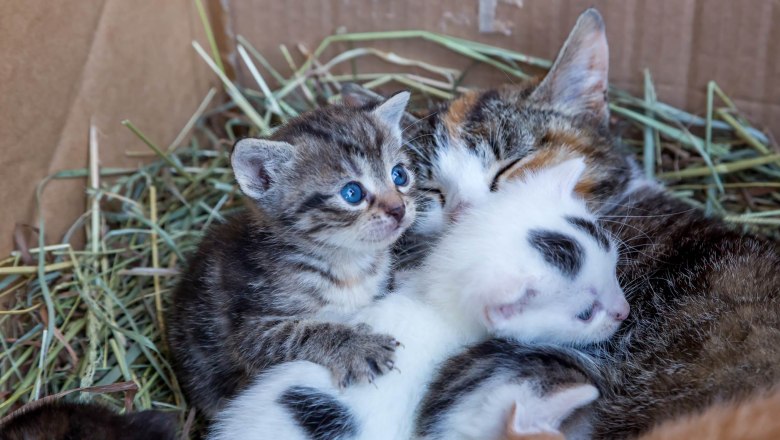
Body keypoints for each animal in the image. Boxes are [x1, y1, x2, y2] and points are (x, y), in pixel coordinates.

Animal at [168, 92, 418, 416]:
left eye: (399, 175)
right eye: (352, 193)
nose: (399, 208)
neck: (347, 263)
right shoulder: (250, 332)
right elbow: (300, 333)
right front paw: (355, 345)